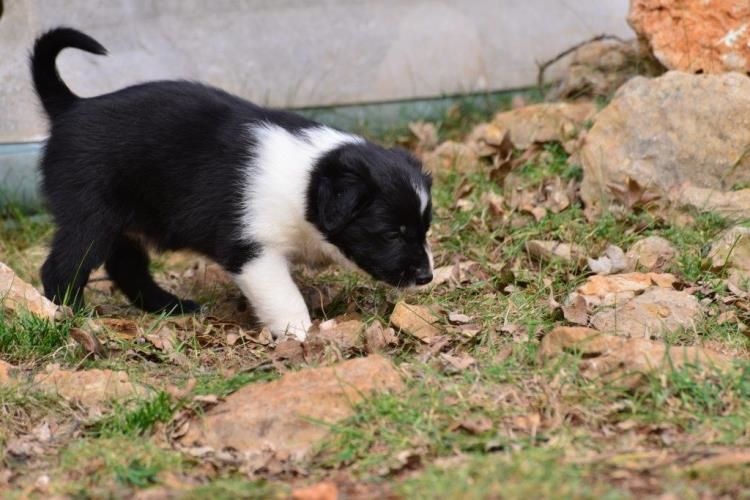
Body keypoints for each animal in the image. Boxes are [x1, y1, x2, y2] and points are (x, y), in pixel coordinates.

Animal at [30, 27, 434, 340]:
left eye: (424, 230)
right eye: (391, 234)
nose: (427, 277)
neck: (306, 179)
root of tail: (71, 106)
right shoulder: (252, 252)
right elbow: (283, 295)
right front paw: (299, 332)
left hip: (121, 223)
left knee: (128, 267)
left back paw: (169, 306)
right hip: (89, 218)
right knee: (61, 268)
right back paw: (72, 316)